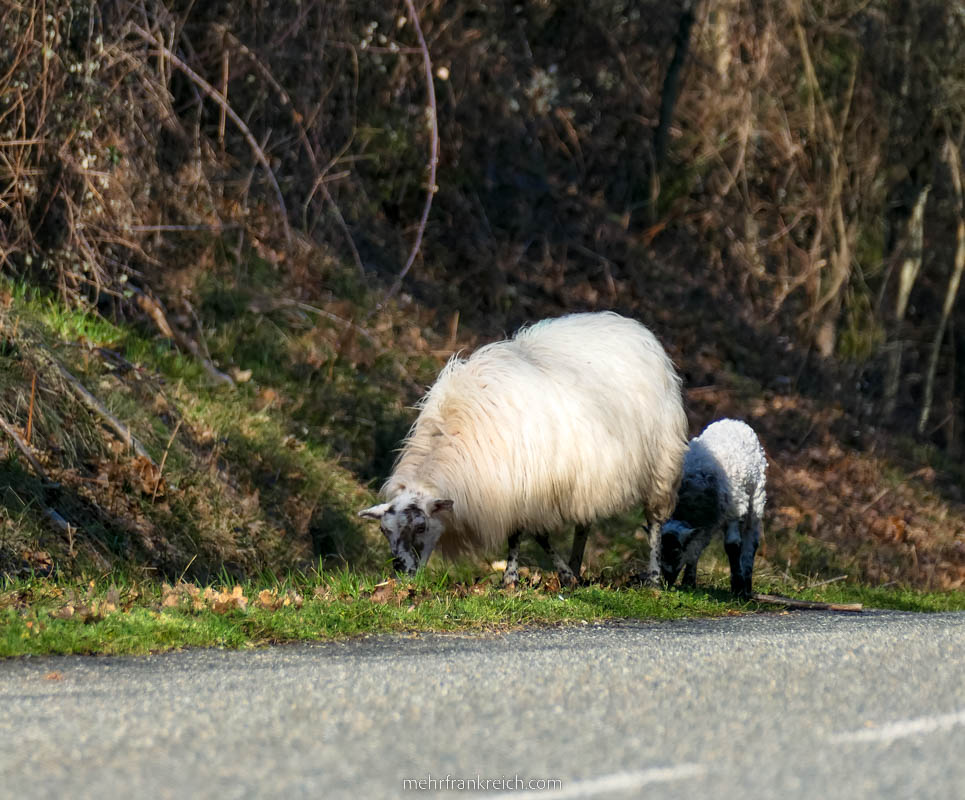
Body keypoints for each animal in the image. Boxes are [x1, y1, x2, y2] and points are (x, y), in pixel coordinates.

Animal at [360, 312, 684, 588]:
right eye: (384, 531)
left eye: (420, 527)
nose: (402, 573)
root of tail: (634, 328)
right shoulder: (512, 492)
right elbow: (527, 536)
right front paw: (551, 575)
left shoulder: (528, 489)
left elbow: (532, 536)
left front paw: (520, 579)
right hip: (589, 479)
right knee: (584, 524)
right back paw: (577, 565)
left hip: (661, 465)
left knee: (654, 522)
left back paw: (654, 578)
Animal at [660, 418, 764, 592]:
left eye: (675, 552)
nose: (665, 582)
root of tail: (733, 421)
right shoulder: (705, 524)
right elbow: (697, 547)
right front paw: (689, 581)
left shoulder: (735, 509)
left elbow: (732, 545)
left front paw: (738, 587)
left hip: (757, 497)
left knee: (752, 538)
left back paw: (747, 584)